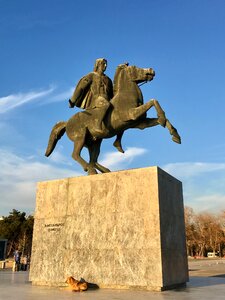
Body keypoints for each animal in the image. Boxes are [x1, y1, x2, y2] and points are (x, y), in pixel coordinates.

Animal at [44, 64, 180, 175]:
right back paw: (91, 170)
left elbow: (158, 117)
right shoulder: (132, 114)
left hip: (94, 142)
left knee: (93, 159)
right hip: (80, 138)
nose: (151, 70)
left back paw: (104, 170)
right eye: (135, 67)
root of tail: (67, 123)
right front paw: (163, 120)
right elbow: (153, 101)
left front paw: (175, 135)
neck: (127, 96)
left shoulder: (139, 123)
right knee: (76, 155)